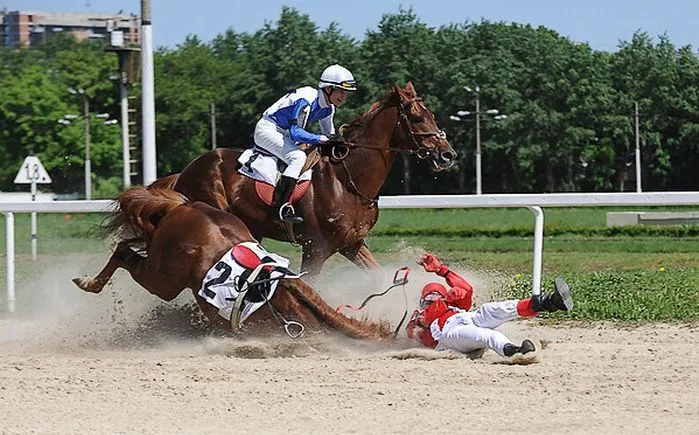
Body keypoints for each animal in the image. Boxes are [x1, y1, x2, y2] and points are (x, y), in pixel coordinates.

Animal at [172, 82, 456, 280]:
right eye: (418, 118)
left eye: (431, 114)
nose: (448, 154)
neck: (347, 180)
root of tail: (184, 173)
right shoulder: (315, 249)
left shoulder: (351, 243)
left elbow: (379, 277)